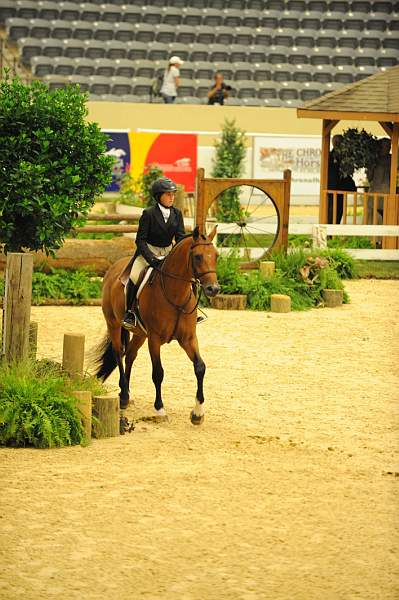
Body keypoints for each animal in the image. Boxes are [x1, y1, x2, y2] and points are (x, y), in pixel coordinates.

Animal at [95, 226, 220, 426]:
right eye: (198, 256)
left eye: (216, 255)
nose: (213, 289)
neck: (175, 295)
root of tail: (114, 267)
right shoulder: (154, 339)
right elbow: (158, 373)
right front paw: (160, 409)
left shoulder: (188, 338)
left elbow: (200, 367)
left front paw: (198, 413)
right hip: (113, 324)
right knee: (118, 353)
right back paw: (124, 396)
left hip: (140, 333)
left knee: (130, 355)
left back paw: (126, 393)